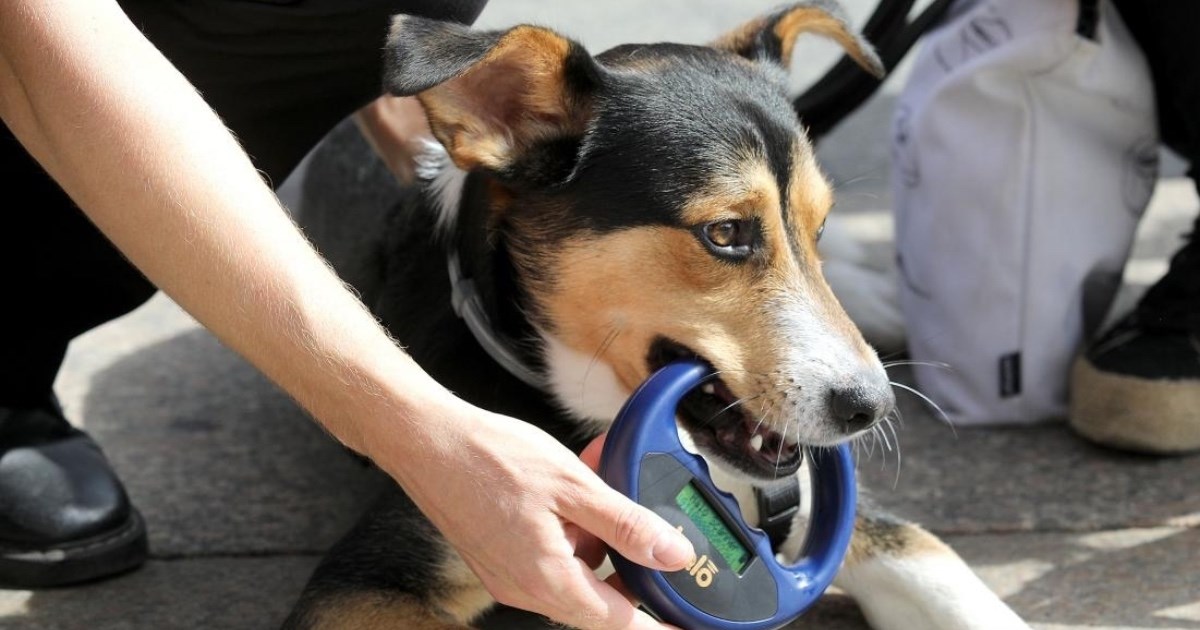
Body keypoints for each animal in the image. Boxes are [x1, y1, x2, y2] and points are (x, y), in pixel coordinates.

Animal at [283, 2, 1032, 624]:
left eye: (815, 226)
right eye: (725, 233)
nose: (870, 409)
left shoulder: (830, 509)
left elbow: (940, 567)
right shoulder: (379, 573)